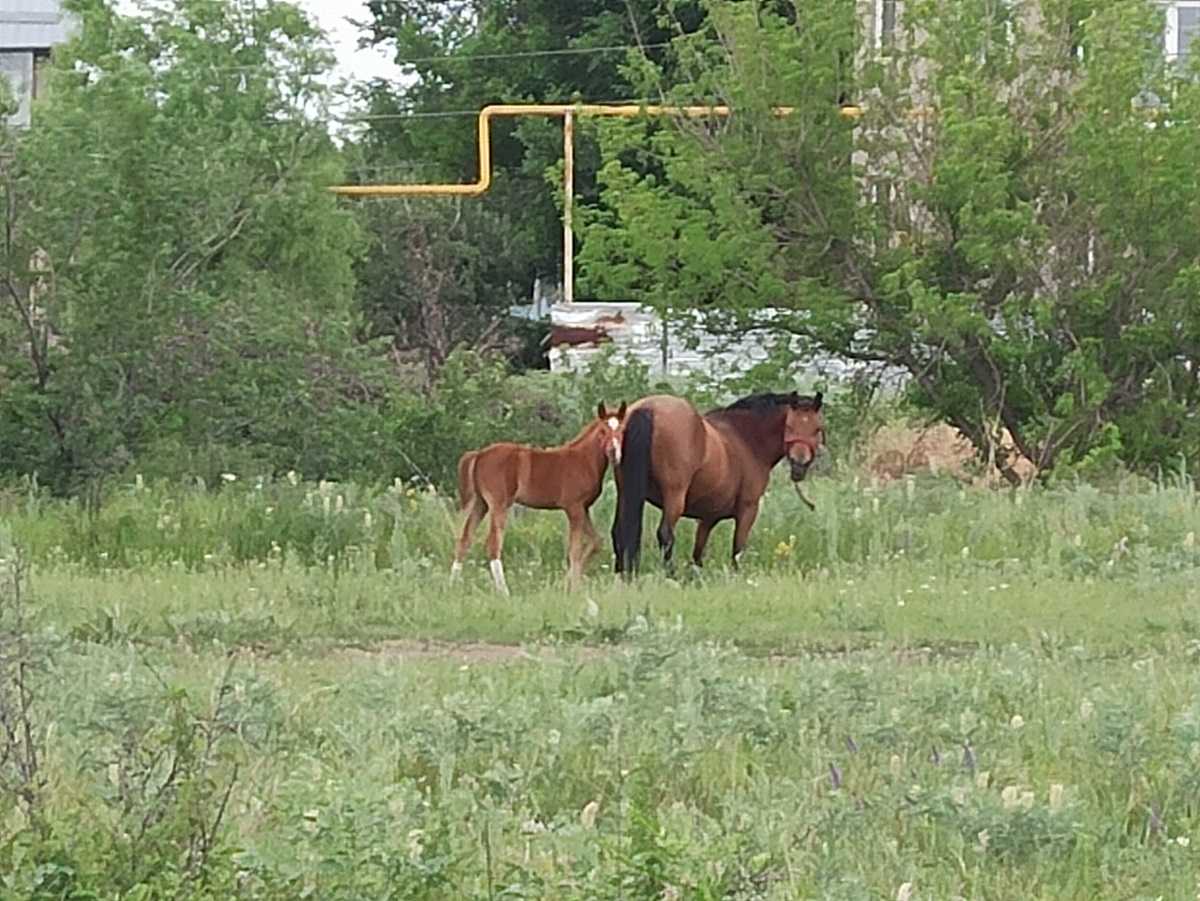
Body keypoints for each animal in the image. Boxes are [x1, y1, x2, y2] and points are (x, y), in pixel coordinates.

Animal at [451, 400, 628, 592]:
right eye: (602, 430)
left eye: (621, 430)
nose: (613, 452)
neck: (583, 460)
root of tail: (479, 454)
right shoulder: (573, 508)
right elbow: (574, 551)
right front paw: (573, 589)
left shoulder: (584, 508)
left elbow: (596, 541)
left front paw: (565, 583)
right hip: (499, 504)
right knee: (493, 543)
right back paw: (504, 591)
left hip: (481, 503)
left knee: (465, 539)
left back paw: (452, 585)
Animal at [609, 391, 825, 573]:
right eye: (789, 427)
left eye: (817, 429)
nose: (799, 464)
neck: (746, 439)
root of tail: (649, 408)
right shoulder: (748, 510)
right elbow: (737, 549)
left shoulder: (708, 517)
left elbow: (697, 554)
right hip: (674, 497)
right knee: (665, 535)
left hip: (625, 492)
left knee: (619, 532)